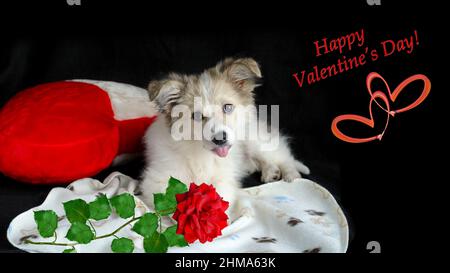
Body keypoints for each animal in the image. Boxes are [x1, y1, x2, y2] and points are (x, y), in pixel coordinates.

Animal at [141, 58, 310, 212]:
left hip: (256, 141)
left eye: (227, 107)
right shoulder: (157, 181)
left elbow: (219, 199)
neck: (201, 154)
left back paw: (290, 174)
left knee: (283, 156)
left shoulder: (224, 179)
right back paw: (270, 172)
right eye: (196, 116)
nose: (220, 139)